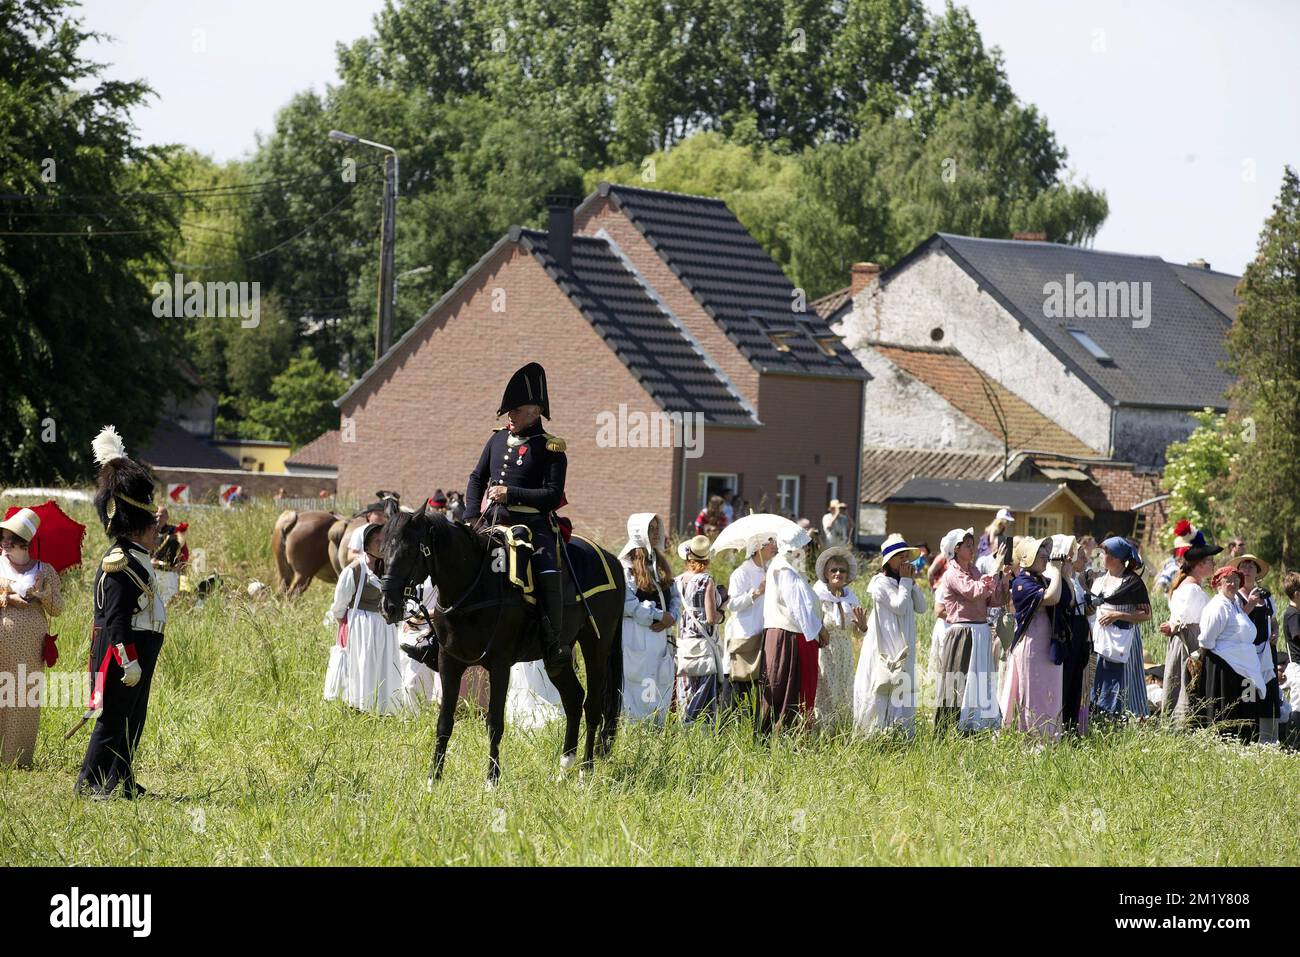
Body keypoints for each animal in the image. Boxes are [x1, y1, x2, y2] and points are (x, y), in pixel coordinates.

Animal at [379, 501, 621, 785]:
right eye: (383, 549)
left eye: (409, 551)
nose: (388, 606)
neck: (474, 585)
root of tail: (612, 559)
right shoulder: (449, 662)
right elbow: (444, 722)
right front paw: (433, 779)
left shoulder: (500, 665)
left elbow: (495, 722)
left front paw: (491, 781)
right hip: (557, 659)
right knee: (573, 699)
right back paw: (564, 768)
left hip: (596, 647)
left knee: (592, 706)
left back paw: (585, 771)